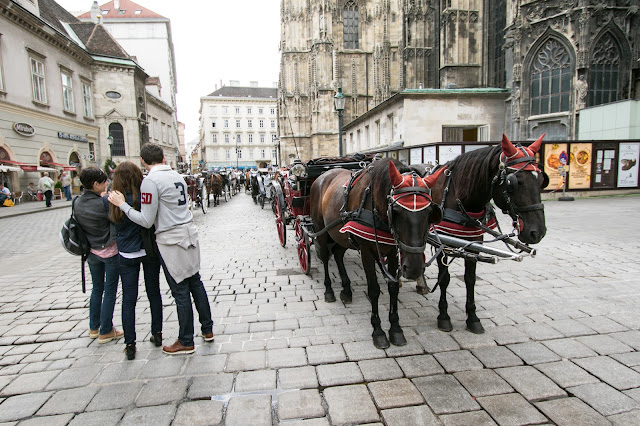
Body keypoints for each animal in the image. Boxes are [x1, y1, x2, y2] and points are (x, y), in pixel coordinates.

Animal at [308, 158, 440, 348]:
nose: (414, 269)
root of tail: (324, 175)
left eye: (430, 212)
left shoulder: (392, 252)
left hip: (342, 234)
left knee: (338, 254)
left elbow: (393, 287)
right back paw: (329, 291)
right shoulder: (366, 251)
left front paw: (396, 329)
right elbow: (374, 290)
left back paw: (346, 290)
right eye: (396, 211)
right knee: (326, 257)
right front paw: (378, 331)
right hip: (321, 230)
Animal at [422, 135, 548, 334]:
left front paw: (473, 318)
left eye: (542, 179)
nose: (537, 232)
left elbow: (470, 279)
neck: (459, 196)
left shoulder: (475, 241)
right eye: (513, 182)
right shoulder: (444, 243)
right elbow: (445, 279)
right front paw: (444, 316)